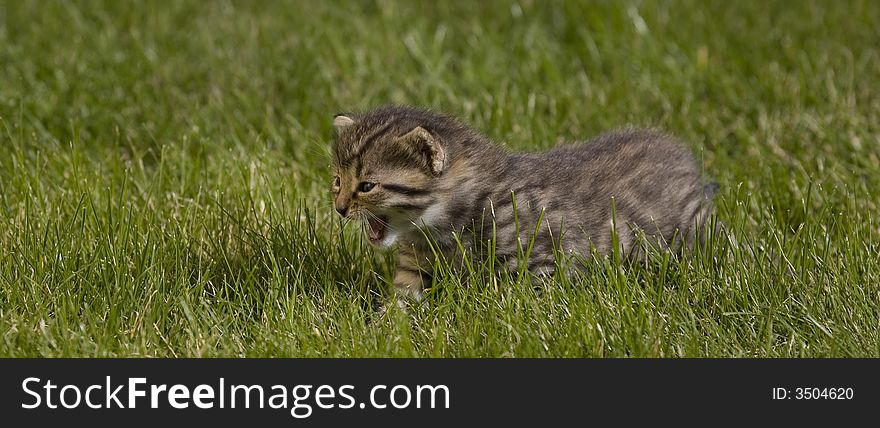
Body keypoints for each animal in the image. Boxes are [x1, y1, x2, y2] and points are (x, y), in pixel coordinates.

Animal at [330, 106, 716, 304]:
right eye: (337, 180)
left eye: (366, 186)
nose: (340, 208)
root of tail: (680, 152)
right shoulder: (415, 266)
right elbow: (403, 299)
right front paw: (385, 329)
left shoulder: (540, 258)